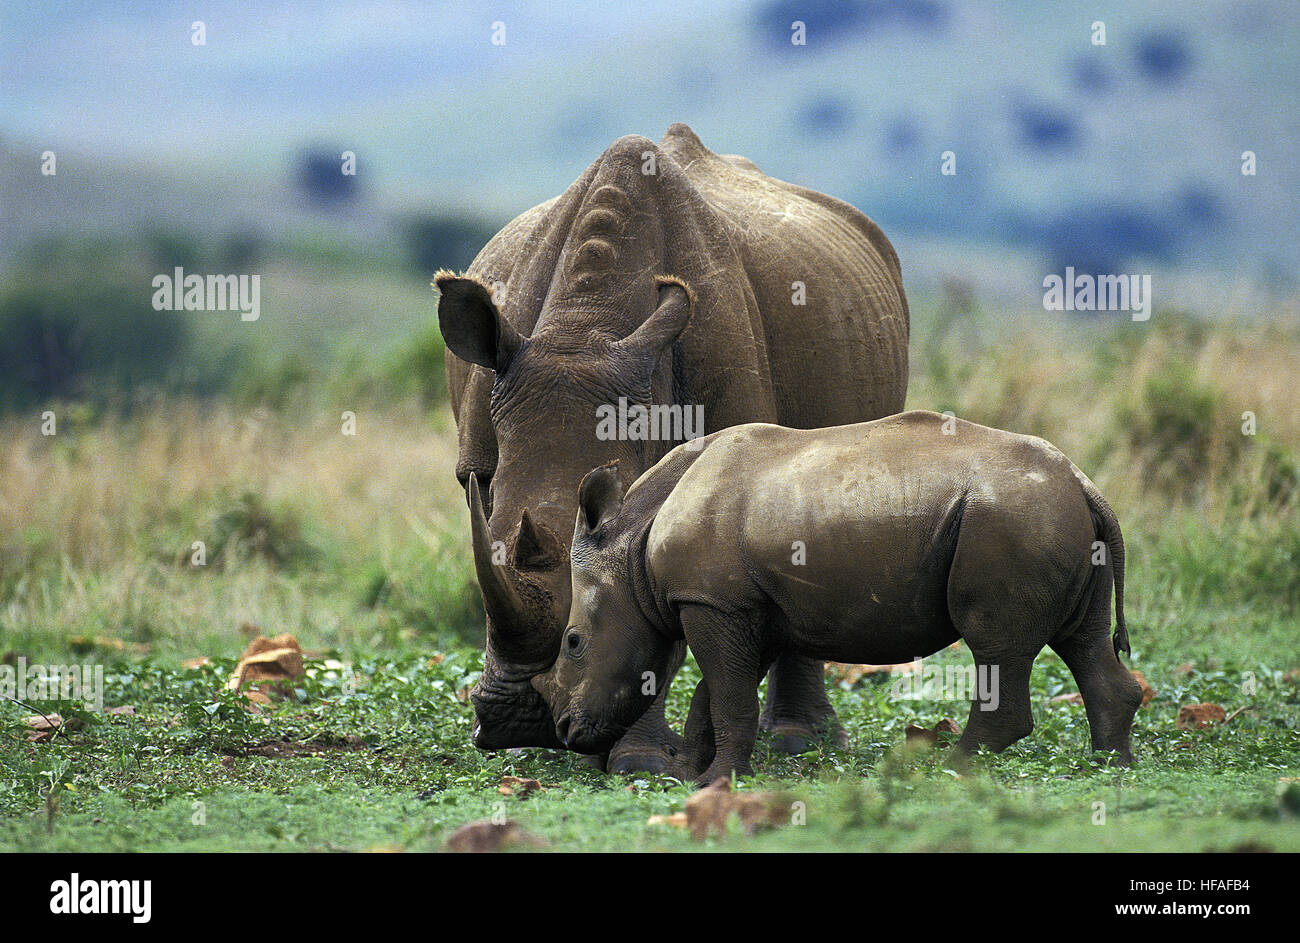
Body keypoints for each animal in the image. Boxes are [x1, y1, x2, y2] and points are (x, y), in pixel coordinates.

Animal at [533, 408, 1144, 785]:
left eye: (573, 641)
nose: (564, 731)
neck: (632, 545)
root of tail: (1085, 484)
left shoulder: (712, 601)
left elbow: (729, 697)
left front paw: (715, 782)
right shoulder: (747, 608)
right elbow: (717, 694)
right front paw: (689, 773)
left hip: (1009, 519)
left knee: (996, 646)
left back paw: (943, 767)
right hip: (1046, 516)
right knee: (1081, 640)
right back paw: (1111, 768)